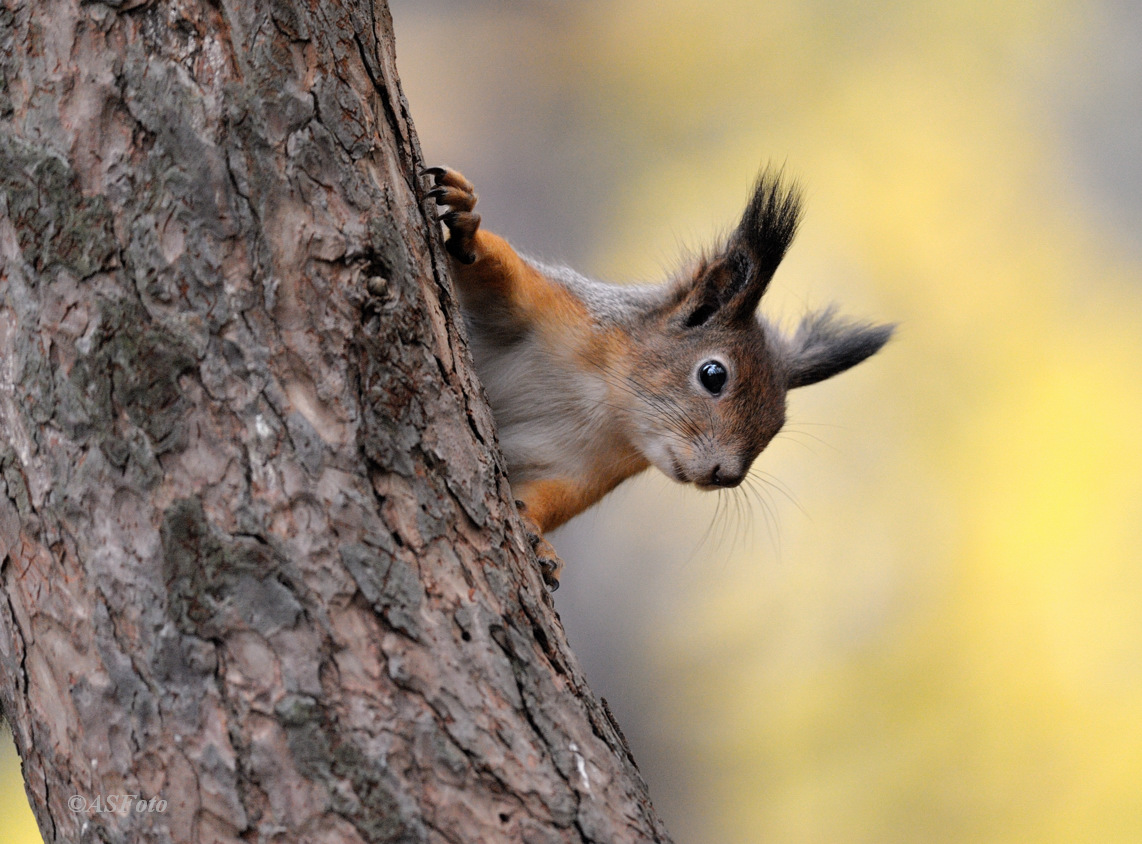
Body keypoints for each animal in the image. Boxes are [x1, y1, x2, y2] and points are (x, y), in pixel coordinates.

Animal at [420, 165, 890, 589]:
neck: (607, 400)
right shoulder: (551, 306)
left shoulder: (585, 471)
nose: (725, 476)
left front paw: (540, 542)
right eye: (713, 374)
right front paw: (467, 226)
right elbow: (499, 272)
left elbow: (546, 498)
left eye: (778, 425)